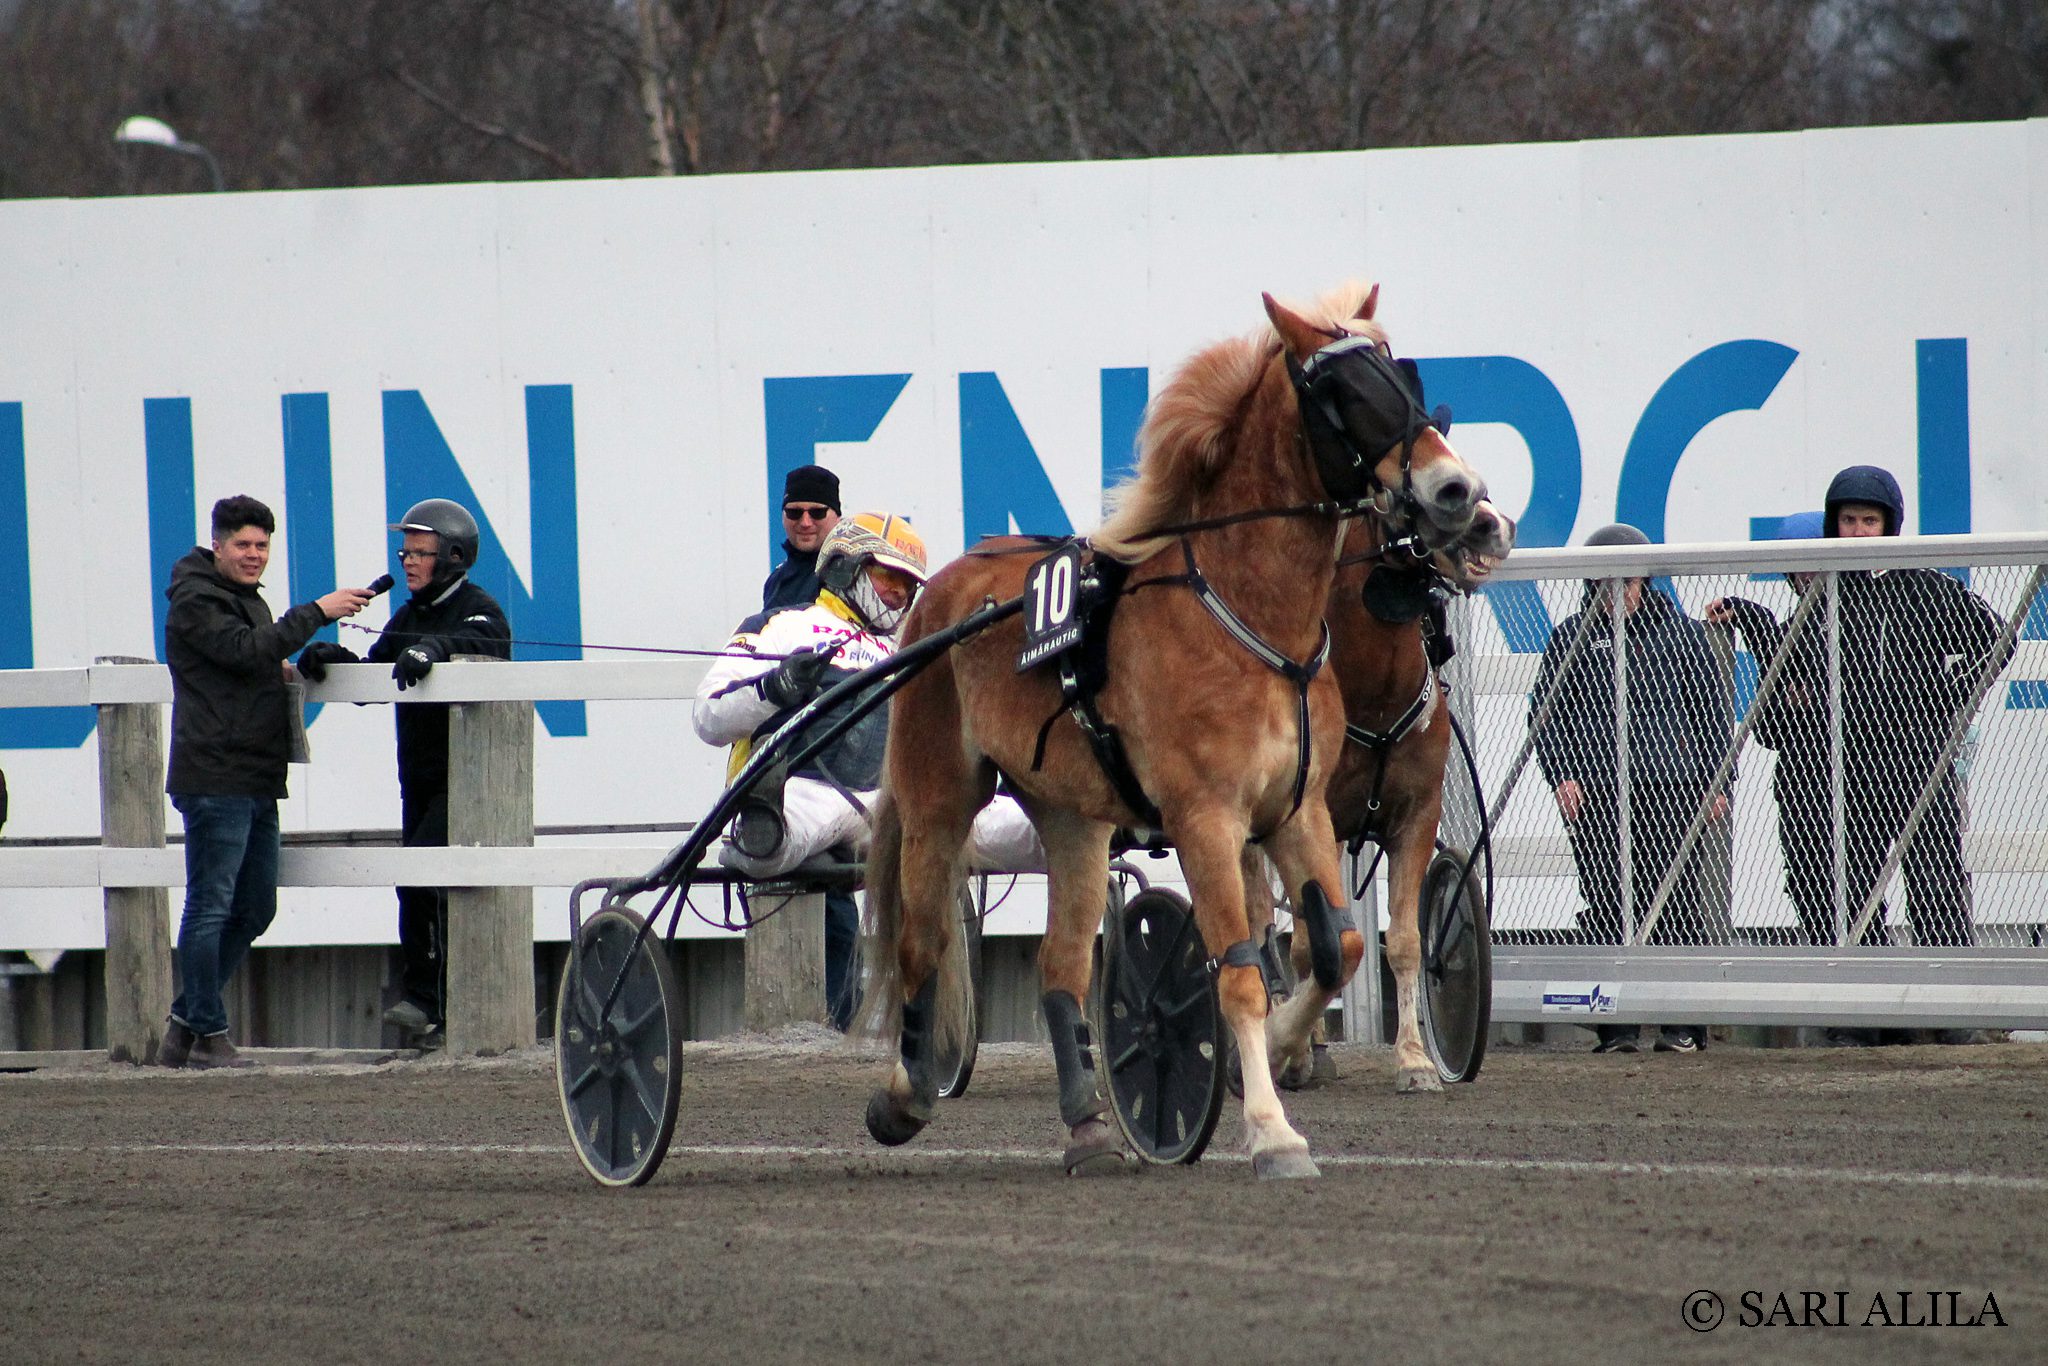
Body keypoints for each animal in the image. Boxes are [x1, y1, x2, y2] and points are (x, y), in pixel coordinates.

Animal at [1244, 504, 1514, 1093]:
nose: (1494, 526)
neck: (1374, 692)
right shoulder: (1310, 818)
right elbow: (1308, 945)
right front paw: (1293, 1053)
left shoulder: (1416, 816)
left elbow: (1408, 941)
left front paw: (1415, 1060)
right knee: (1259, 924)